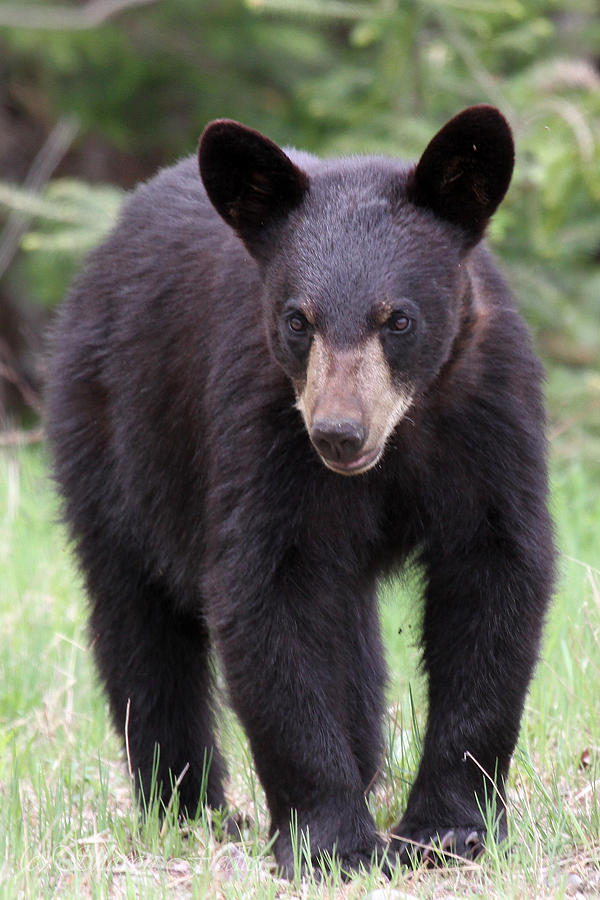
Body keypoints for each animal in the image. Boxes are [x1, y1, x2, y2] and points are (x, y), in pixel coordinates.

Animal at [45, 103, 552, 872]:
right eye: (297, 320)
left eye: (398, 318)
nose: (338, 433)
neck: (400, 439)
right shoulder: (262, 431)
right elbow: (266, 595)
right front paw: (331, 840)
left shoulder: (489, 419)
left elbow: (495, 579)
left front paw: (448, 829)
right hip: (113, 441)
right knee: (140, 626)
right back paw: (188, 809)